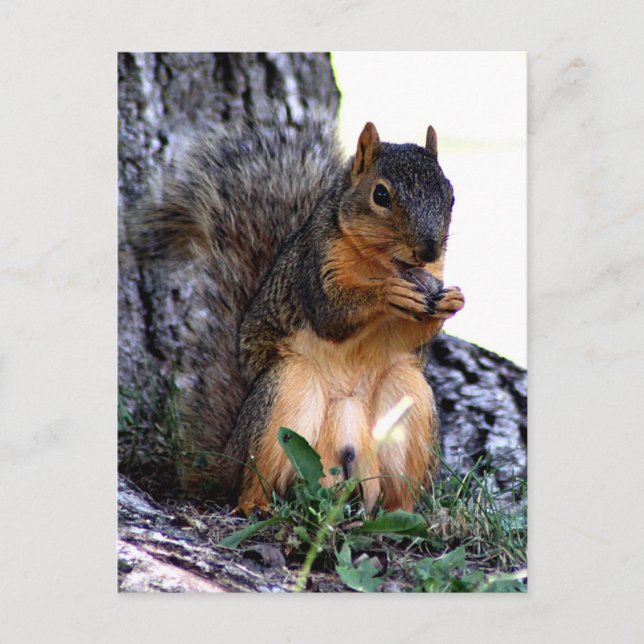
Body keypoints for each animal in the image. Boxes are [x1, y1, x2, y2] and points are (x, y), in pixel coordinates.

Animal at [132, 117, 465, 514]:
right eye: (381, 195)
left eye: (451, 195)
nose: (428, 250)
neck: (383, 263)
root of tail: (225, 461)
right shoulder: (313, 265)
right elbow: (330, 314)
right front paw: (388, 292)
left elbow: (409, 336)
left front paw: (452, 301)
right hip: (286, 391)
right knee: (252, 482)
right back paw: (256, 504)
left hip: (409, 399)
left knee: (396, 491)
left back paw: (405, 515)